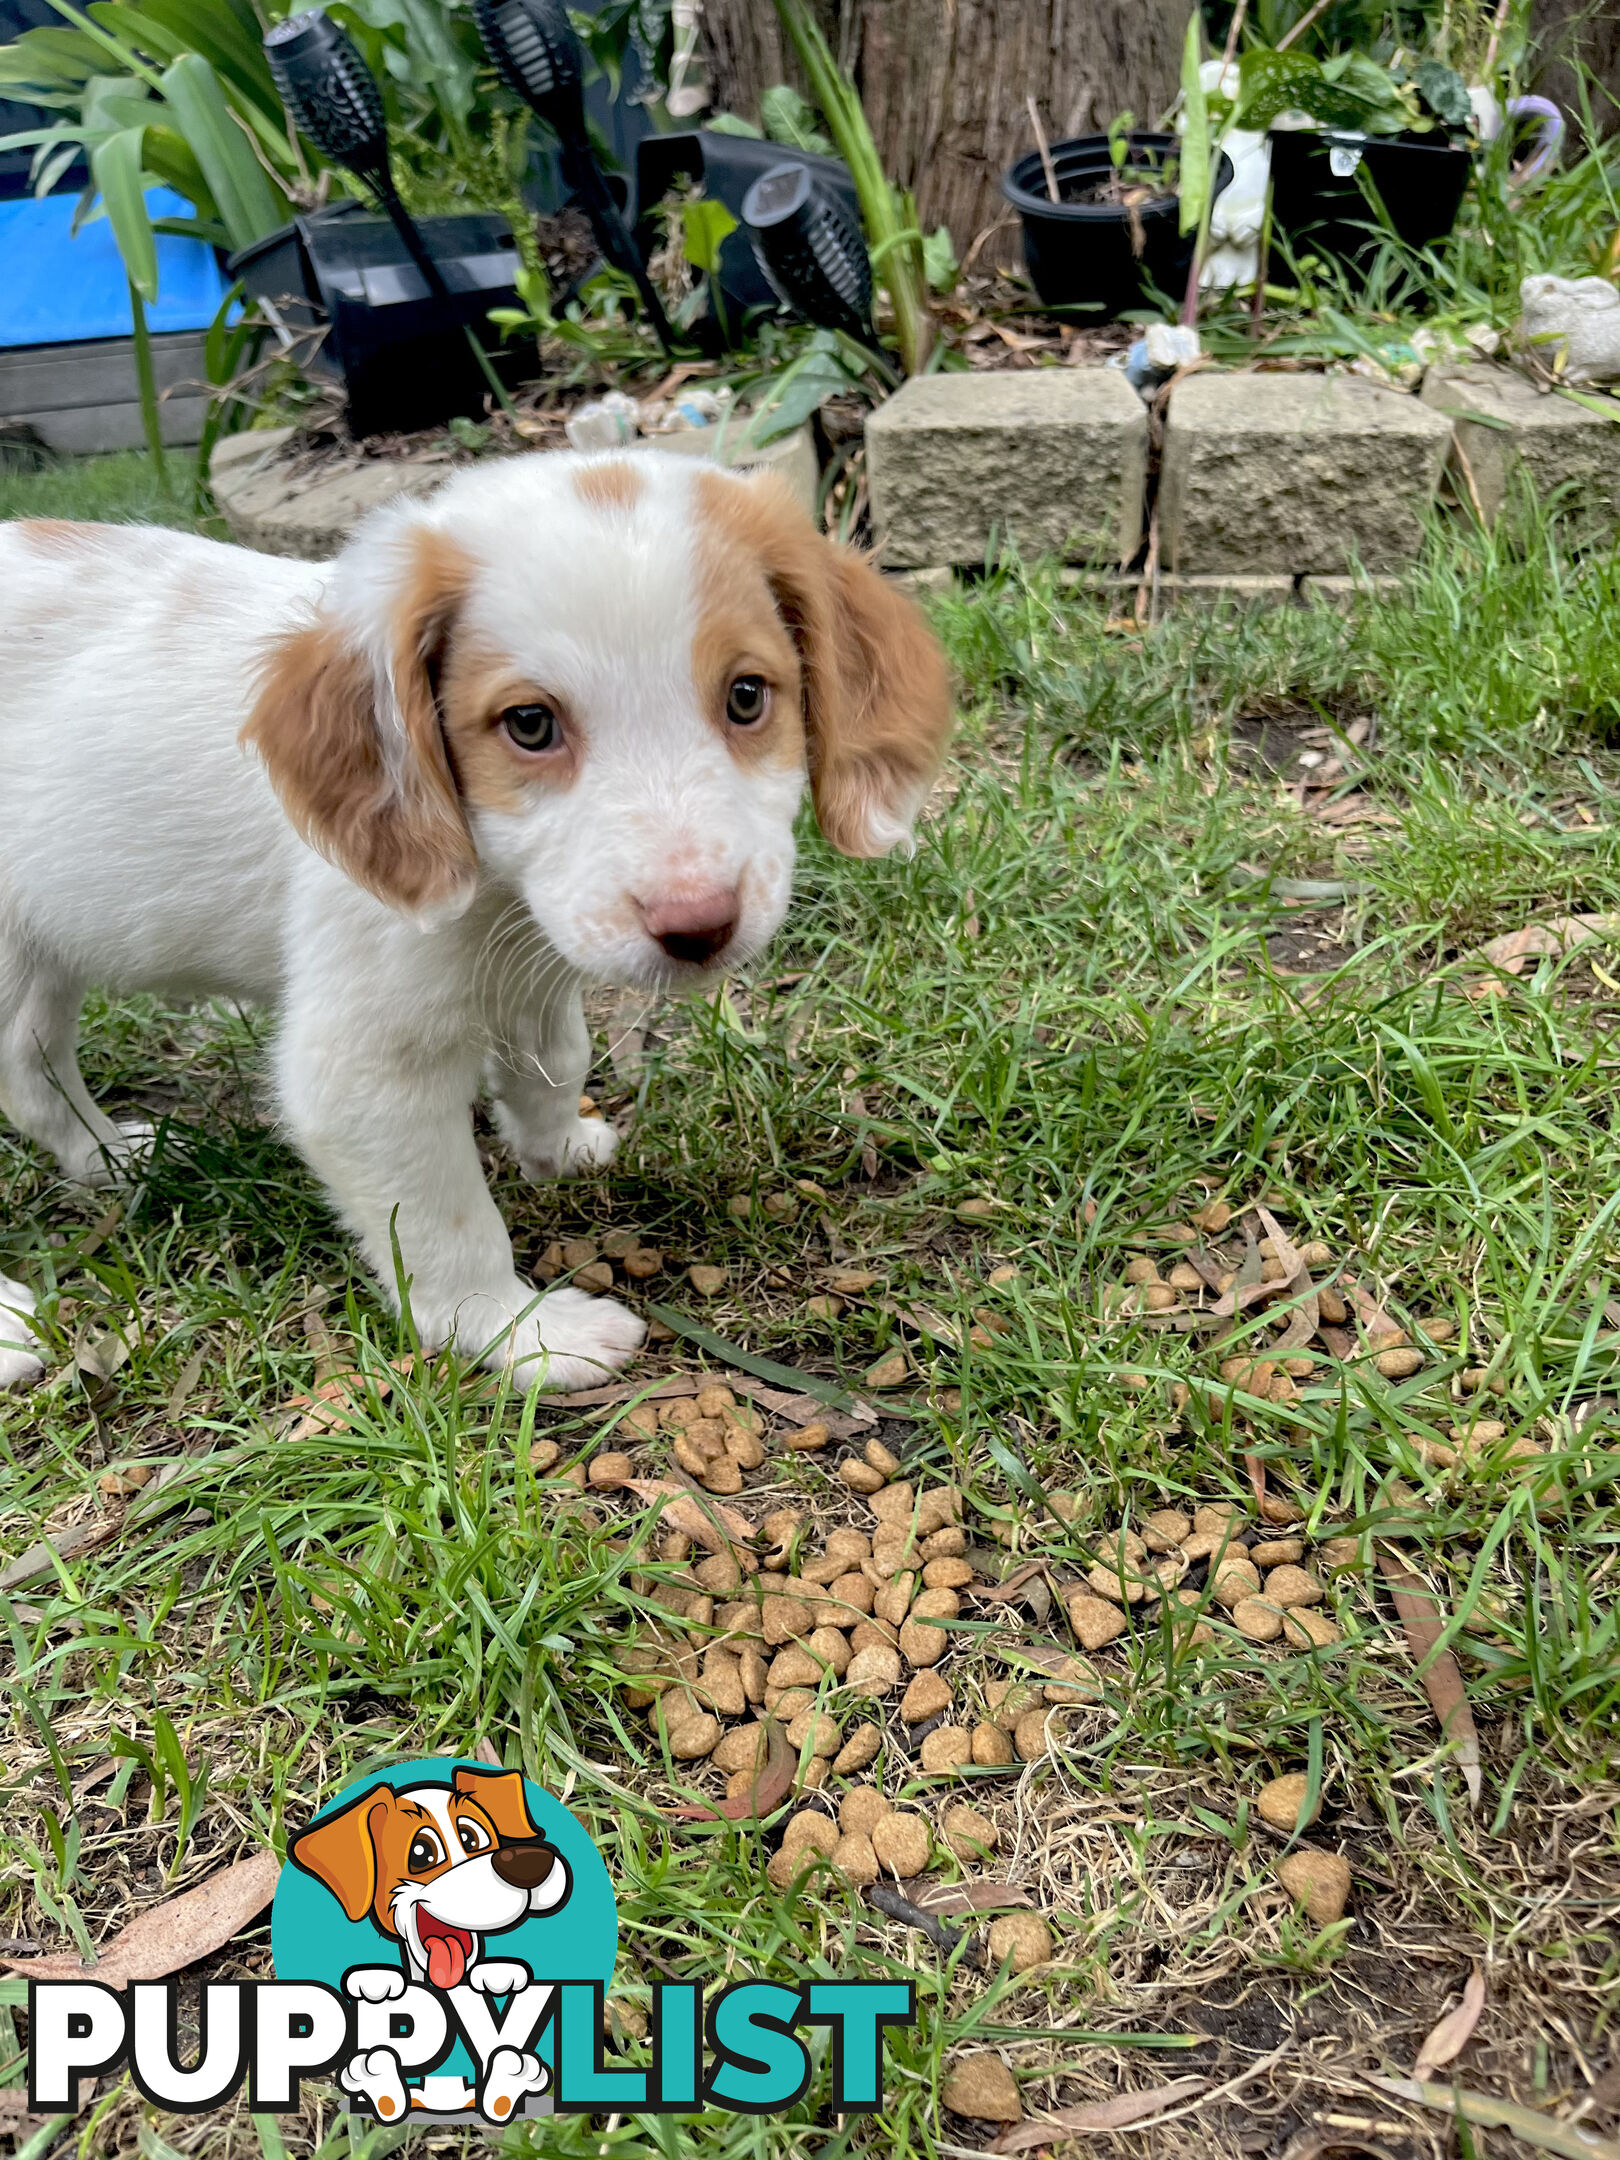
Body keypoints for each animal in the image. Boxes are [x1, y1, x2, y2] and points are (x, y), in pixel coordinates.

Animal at [0, 457, 959, 1399]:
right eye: (529, 724)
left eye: (749, 696)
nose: (699, 928)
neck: (494, 894)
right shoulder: (363, 1072)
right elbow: (447, 1223)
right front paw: (519, 1333)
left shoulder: (537, 955)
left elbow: (557, 1054)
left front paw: (557, 1145)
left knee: (28, 1073)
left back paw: (108, 1158)